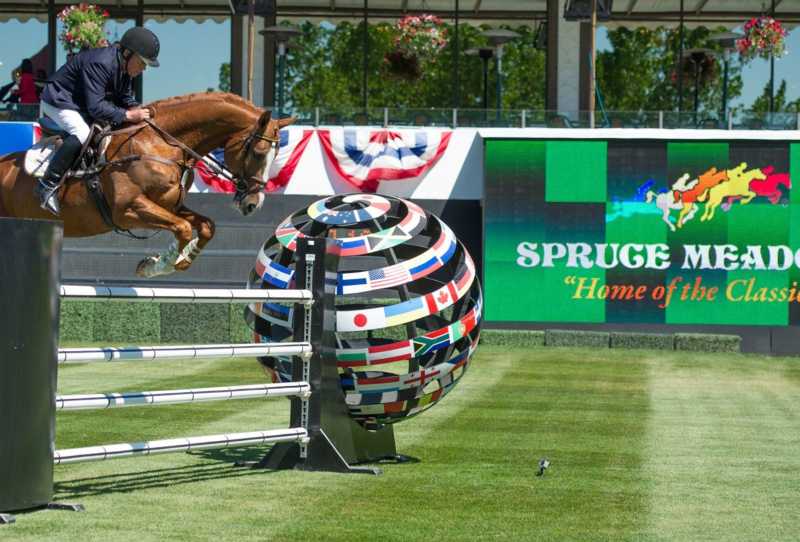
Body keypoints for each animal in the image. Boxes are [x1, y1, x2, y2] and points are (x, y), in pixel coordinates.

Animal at [0, 92, 294, 278]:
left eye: (276, 155)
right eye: (258, 152)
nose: (253, 204)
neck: (161, 143)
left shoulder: (169, 205)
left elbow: (205, 226)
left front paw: (178, 259)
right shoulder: (129, 209)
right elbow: (183, 227)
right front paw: (158, 264)